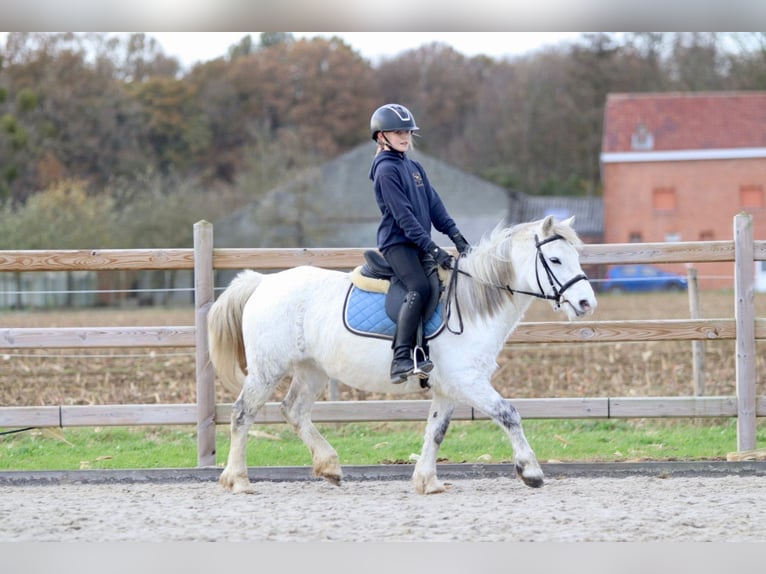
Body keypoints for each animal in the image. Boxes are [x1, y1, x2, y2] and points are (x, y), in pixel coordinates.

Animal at [210, 216, 600, 496]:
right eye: (555, 259)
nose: (586, 303)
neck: (470, 304)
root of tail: (263, 282)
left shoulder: (448, 388)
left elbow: (436, 431)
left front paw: (427, 481)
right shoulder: (468, 382)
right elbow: (509, 414)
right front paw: (530, 471)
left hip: (312, 371)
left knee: (294, 411)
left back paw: (329, 466)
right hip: (267, 370)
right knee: (242, 414)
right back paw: (238, 480)